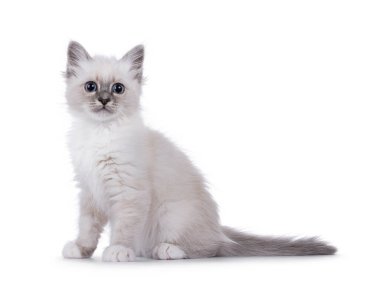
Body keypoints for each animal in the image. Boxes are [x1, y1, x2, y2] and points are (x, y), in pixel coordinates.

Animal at [61, 41, 336, 260]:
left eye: (118, 88)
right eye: (91, 87)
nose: (104, 100)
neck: (99, 133)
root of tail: (219, 229)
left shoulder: (129, 191)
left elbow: (123, 229)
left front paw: (118, 250)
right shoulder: (89, 190)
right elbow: (87, 227)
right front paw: (80, 249)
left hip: (171, 214)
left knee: (209, 249)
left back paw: (166, 250)